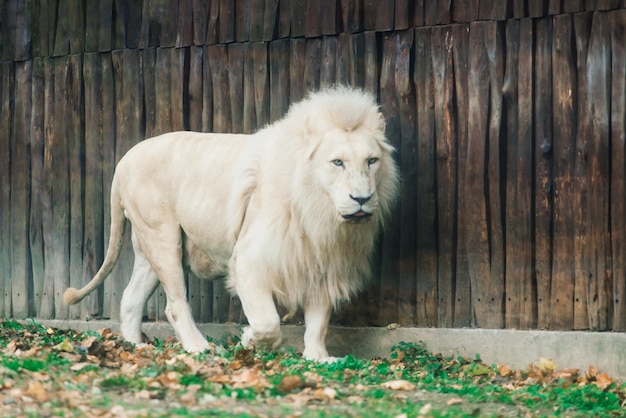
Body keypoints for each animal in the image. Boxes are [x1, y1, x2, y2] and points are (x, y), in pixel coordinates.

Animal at [62, 86, 394, 360]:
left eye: (372, 161)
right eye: (337, 162)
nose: (362, 199)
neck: (318, 211)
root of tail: (124, 160)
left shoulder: (323, 265)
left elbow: (318, 321)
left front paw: (318, 358)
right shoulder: (249, 260)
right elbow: (267, 321)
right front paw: (250, 340)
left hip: (147, 247)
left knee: (130, 299)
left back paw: (135, 347)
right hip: (162, 236)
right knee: (174, 303)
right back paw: (198, 347)